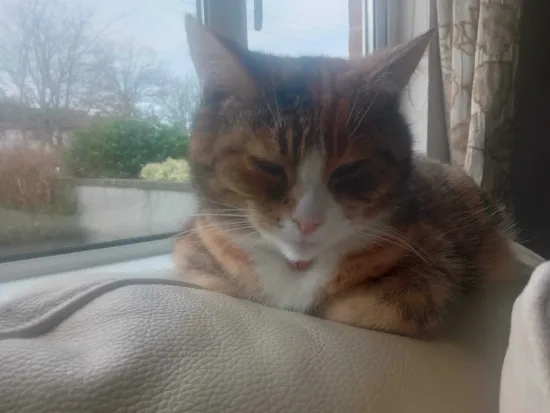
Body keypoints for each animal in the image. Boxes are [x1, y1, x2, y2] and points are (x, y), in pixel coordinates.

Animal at [174, 15, 515, 337]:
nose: (307, 222)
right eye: (267, 166)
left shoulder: (433, 264)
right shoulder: (197, 246)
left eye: (350, 168)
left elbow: (366, 308)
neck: (298, 270)